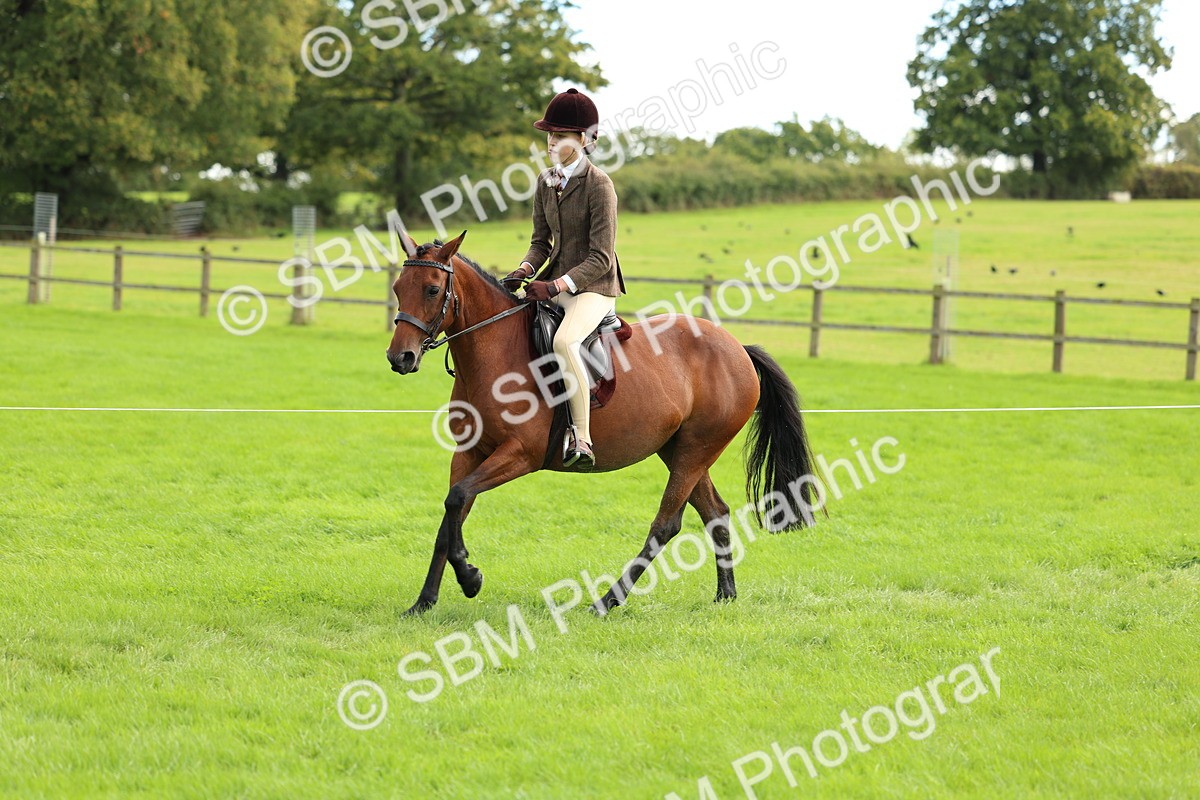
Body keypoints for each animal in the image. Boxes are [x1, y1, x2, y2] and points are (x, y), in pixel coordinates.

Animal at [386, 231, 821, 616]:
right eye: (397, 288)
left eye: (431, 290)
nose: (399, 358)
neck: (495, 352)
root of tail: (737, 348)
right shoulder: (469, 453)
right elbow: (451, 513)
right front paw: (425, 601)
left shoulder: (519, 455)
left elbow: (457, 499)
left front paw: (470, 577)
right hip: (680, 450)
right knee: (715, 512)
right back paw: (725, 594)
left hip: (697, 450)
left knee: (666, 524)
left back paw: (607, 600)